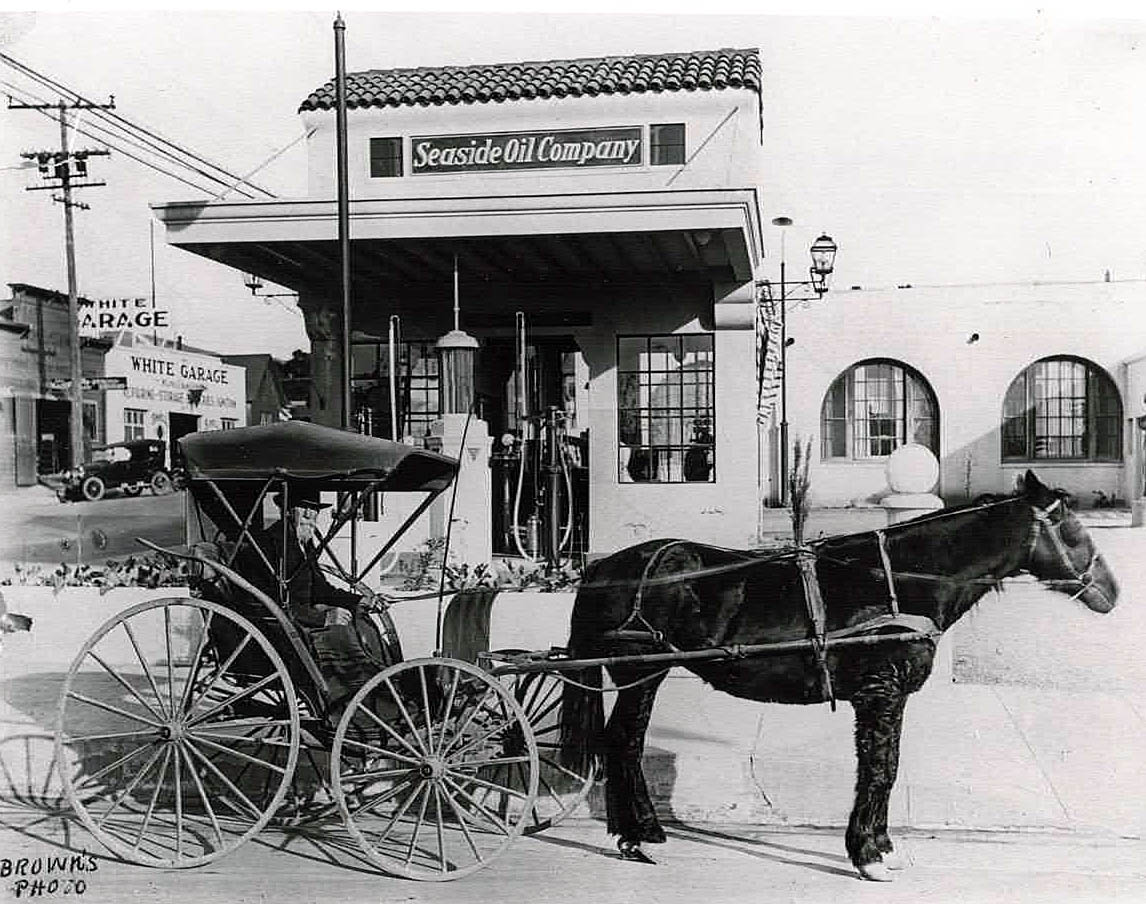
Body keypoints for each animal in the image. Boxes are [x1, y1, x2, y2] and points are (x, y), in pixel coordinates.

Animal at [563, 472, 1118, 879]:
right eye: (1071, 528)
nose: (1112, 590)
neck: (898, 580)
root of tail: (604, 567)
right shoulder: (881, 690)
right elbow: (879, 768)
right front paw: (868, 853)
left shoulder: (884, 694)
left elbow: (883, 766)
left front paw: (879, 844)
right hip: (642, 670)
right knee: (624, 742)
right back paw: (635, 836)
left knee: (624, 742)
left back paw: (641, 831)